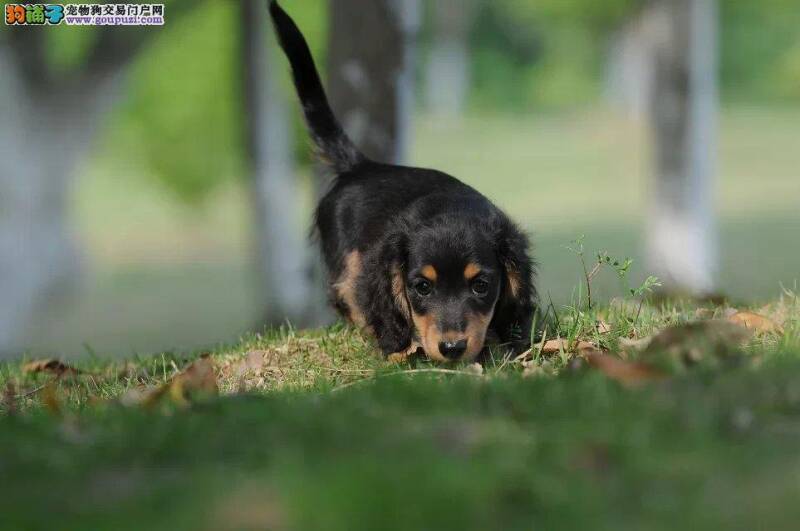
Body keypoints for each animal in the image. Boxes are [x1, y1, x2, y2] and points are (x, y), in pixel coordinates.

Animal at [268, 1, 536, 362]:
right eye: (422, 287)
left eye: (481, 286)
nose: (452, 348)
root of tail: (362, 166)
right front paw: (399, 348)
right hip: (344, 265)